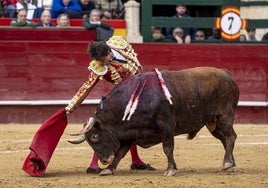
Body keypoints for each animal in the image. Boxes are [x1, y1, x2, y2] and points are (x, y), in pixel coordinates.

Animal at [69, 67, 239, 176]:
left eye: (95, 137)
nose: (104, 160)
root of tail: (227, 74)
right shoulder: (130, 133)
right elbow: (121, 152)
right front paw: (109, 169)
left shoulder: (166, 127)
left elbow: (168, 148)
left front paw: (170, 170)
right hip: (213, 123)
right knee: (225, 139)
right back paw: (231, 164)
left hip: (224, 116)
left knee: (230, 137)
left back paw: (228, 164)